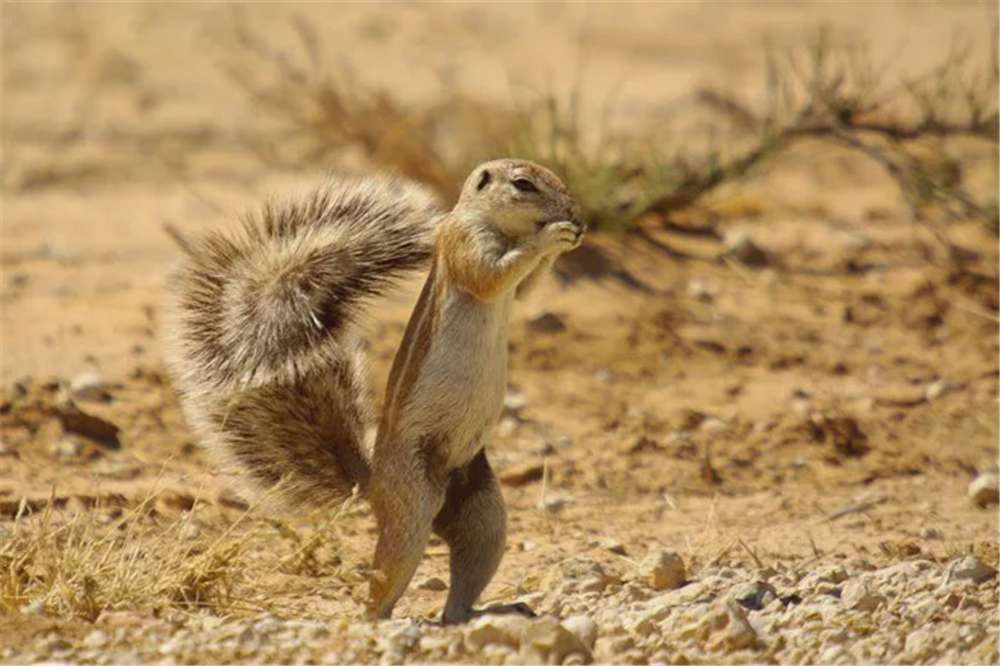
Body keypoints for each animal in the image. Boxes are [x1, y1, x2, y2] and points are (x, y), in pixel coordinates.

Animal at [167, 158, 584, 620]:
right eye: (523, 184)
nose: (576, 216)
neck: (493, 222)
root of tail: (372, 486)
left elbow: (523, 288)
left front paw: (563, 242)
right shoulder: (464, 246)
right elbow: (492, 276)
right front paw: (550, 237)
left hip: (483, 511)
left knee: (460, 587)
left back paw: (485, 611)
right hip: (412, 505)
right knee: (387, 576)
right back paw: (379, 618)